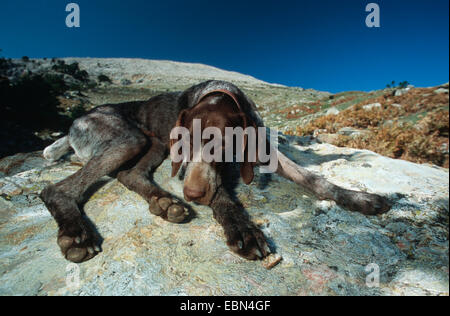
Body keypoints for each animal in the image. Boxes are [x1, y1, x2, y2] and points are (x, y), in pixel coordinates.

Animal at [39, 80, 390, 262]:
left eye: (222, 145)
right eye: (184, 144)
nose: (193, 195)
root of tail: (74, 124)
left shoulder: (263, 147)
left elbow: (315, 179)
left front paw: (359, 199)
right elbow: (223, 196)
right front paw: (242, 229)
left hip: (152, 142)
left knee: (130, 175)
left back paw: (165, 203)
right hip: (130, 138)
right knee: (57, 189)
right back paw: (75, 232)